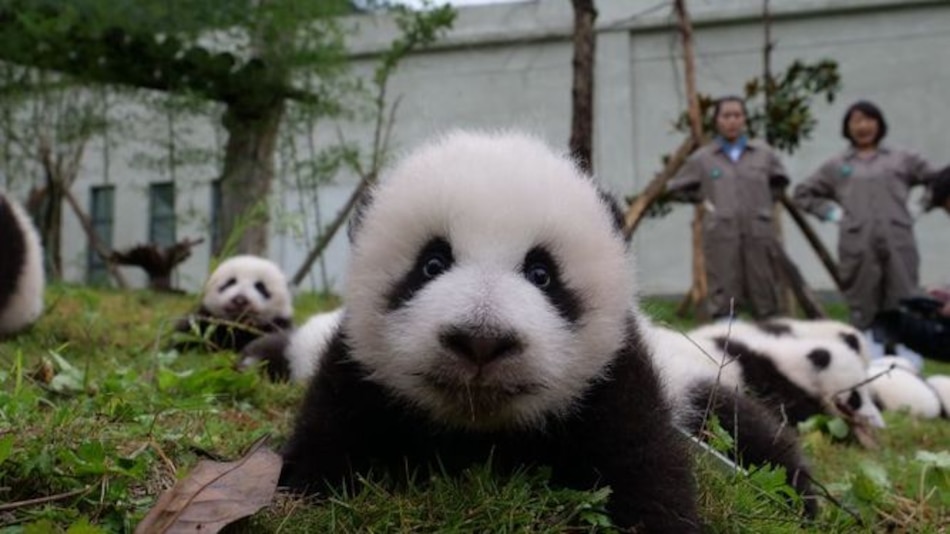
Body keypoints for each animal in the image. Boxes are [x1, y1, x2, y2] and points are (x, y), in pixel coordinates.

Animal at [279, 130, 700, 532]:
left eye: (541, 274)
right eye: (432, 264)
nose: (481, 341)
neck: (480, 431)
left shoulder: (613, 381)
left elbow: (642, 463)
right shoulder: (357, 373)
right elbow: (327, 443)